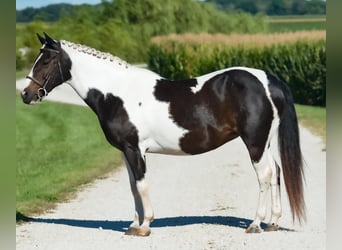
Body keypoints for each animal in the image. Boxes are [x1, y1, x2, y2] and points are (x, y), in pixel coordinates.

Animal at [20, 32, 304, 236]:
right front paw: (133, 225)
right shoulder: (126, 151)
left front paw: (146, 225)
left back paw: (256, 224)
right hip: (265, 142)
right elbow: (133, 185)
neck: (117, 93)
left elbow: (142, 185)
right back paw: (273, 222)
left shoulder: (136, 149)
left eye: (46, 61)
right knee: (276, 171)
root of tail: (269, 80)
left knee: (264, 176)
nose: (25, 94)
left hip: (254, 142)